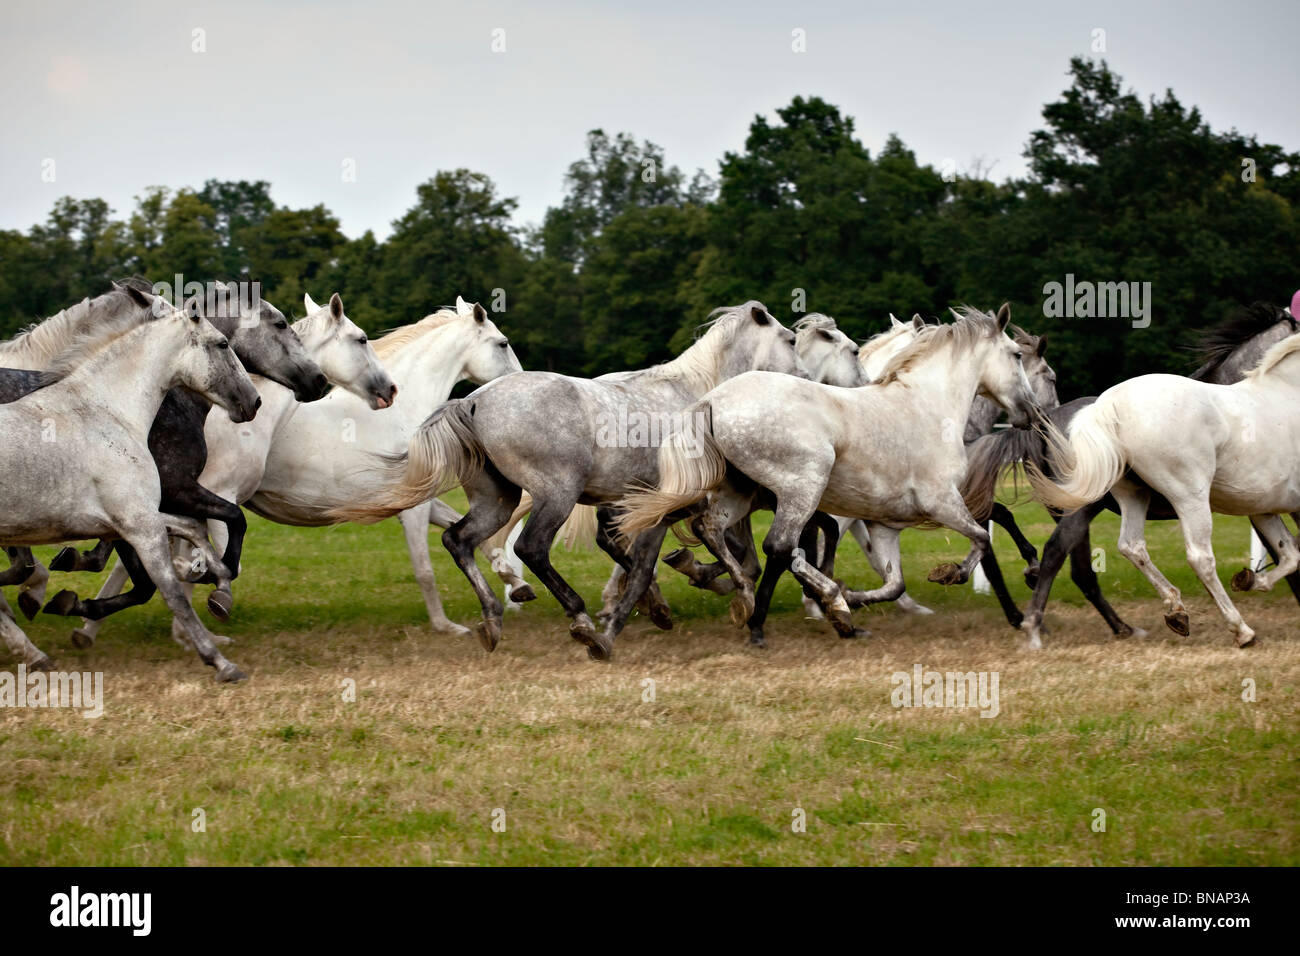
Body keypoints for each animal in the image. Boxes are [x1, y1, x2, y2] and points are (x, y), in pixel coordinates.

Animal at [0, 290, 261, 681]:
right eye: (222, 343)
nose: (253, 401)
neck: (108, 412)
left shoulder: (127, 520)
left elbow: (193, 530)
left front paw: (215, 577)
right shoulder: (141, 525)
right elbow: (173, 594)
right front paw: (221, 662)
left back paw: (35, 651)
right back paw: (34, 651)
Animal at [244, 295, 522, 632]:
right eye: (503, 343)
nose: (522, 380)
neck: (401, 415)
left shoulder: (419, 500)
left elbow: (478, 538)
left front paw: (518, 585)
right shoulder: (413, 509)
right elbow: (424, 568)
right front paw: (445, 626)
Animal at [1034, 330, 1300, 650]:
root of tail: (1107, 406)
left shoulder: (1263, 508)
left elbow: (1290, 554)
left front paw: (1249, 580)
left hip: (1133, 495)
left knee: (1130, 546)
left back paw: (1174, 613)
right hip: (1189, 497)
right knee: (1199, 557)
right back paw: (1241, 630)